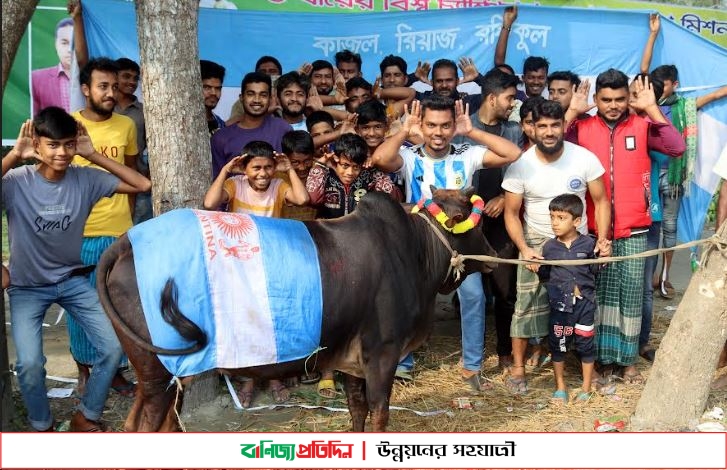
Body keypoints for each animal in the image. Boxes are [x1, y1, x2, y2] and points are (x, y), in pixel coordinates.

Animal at [96, 189, 498, 432]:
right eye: (468, 219)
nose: (494, 253)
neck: (414, 252)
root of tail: (127, 242)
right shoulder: (383, 353)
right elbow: (380, 412)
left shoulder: (353, 361)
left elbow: (358, 410)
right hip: (158, 372)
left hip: (159, 376)